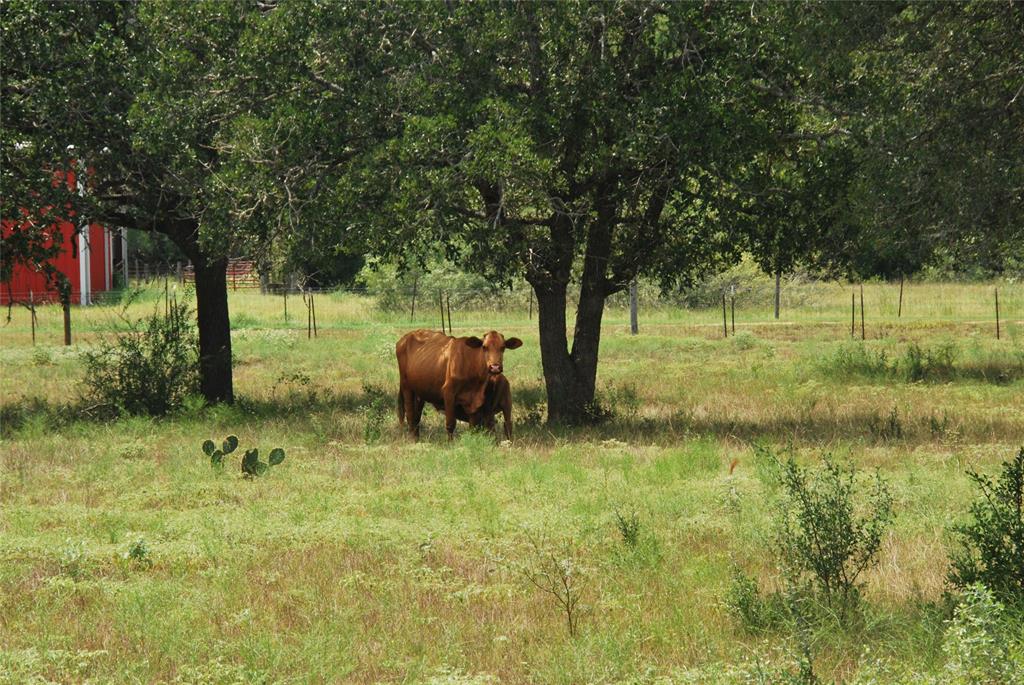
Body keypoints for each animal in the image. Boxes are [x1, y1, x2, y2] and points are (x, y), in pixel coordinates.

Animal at [391, 329, 520, 438]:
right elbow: (450, 423)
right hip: (406, 387)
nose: (495, 367)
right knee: (410, 415)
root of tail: (404, 338)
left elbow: (473, 425)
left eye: (503, 347)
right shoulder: (449, 393)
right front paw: (450, 444)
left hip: (420, 391)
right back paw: (412, 439)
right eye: (484, 347)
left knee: (417, 416)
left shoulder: (474, 403)